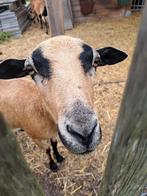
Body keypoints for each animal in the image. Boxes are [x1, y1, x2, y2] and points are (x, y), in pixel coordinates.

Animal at [0, 36, 127, 171]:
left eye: (96, 61)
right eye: (30, 69)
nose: (85, 134)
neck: (40, 109)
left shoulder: (54, 133)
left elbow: (54, 144)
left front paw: (59, 157)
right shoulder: (35, 137)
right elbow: (47, 149)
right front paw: (53, 165)